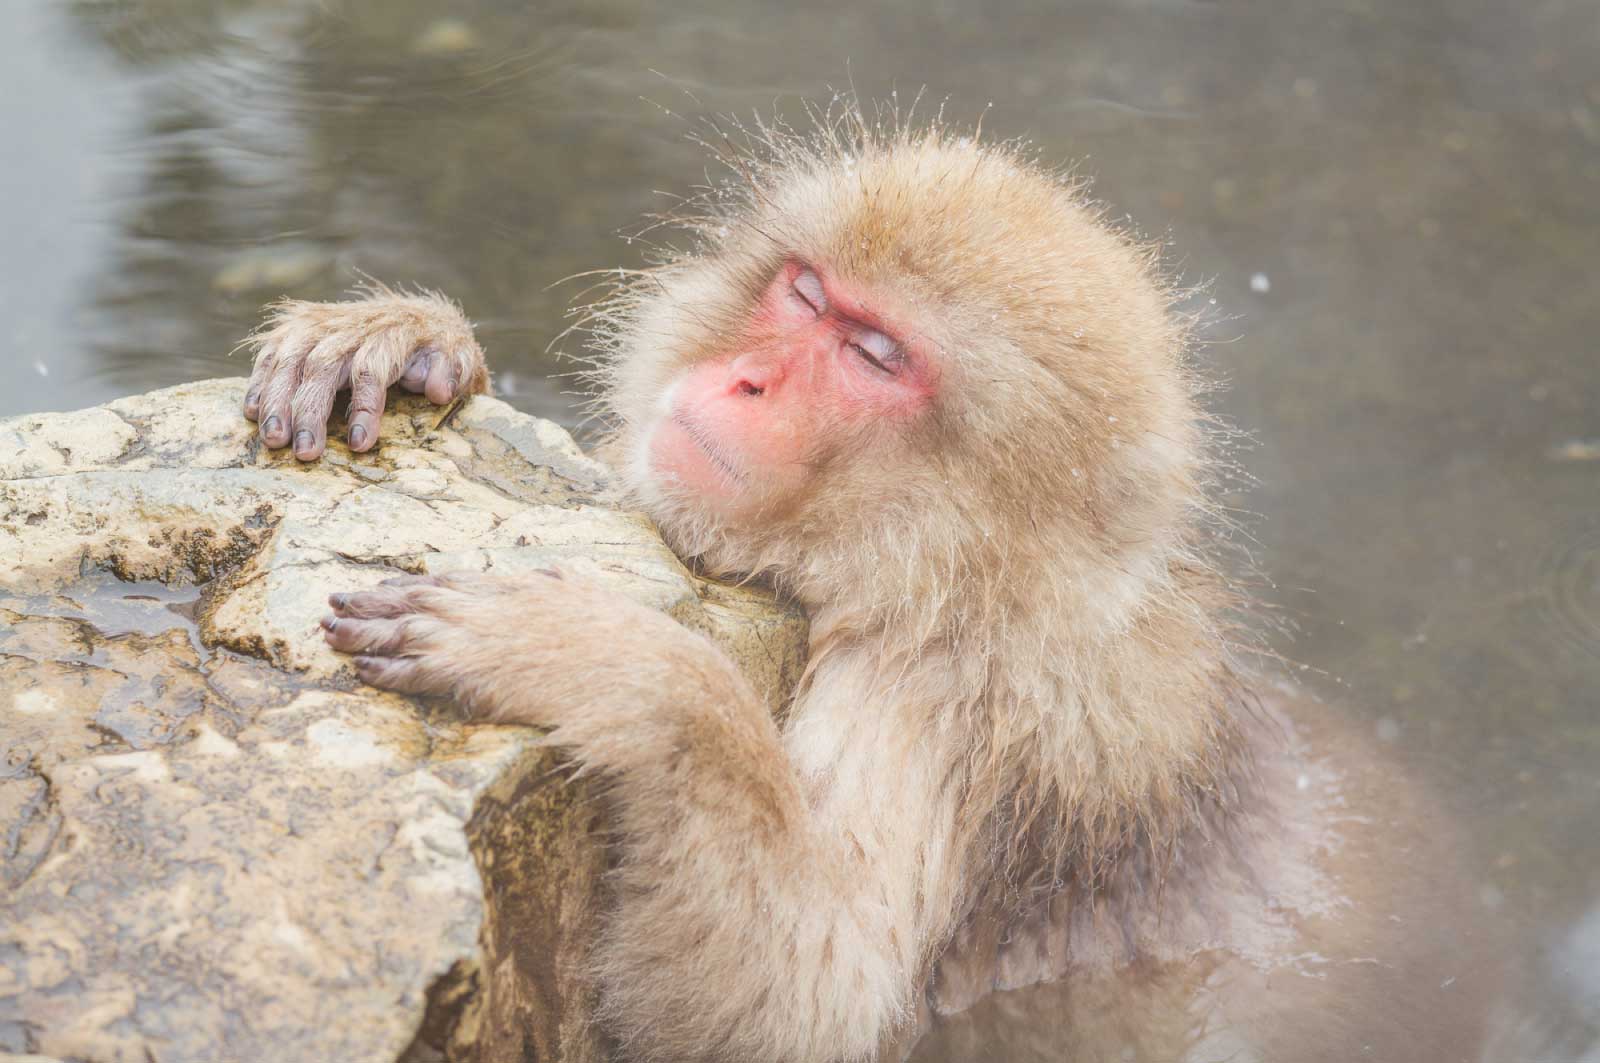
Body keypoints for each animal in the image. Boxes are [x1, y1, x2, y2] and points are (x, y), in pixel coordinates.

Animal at [243, 109, 1491, 1063]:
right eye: (805, 296)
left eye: (875, 357)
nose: (745, 378)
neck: (963, 583)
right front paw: (408, 339)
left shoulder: (949, 703)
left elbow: (786, 1002)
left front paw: (617, 666)